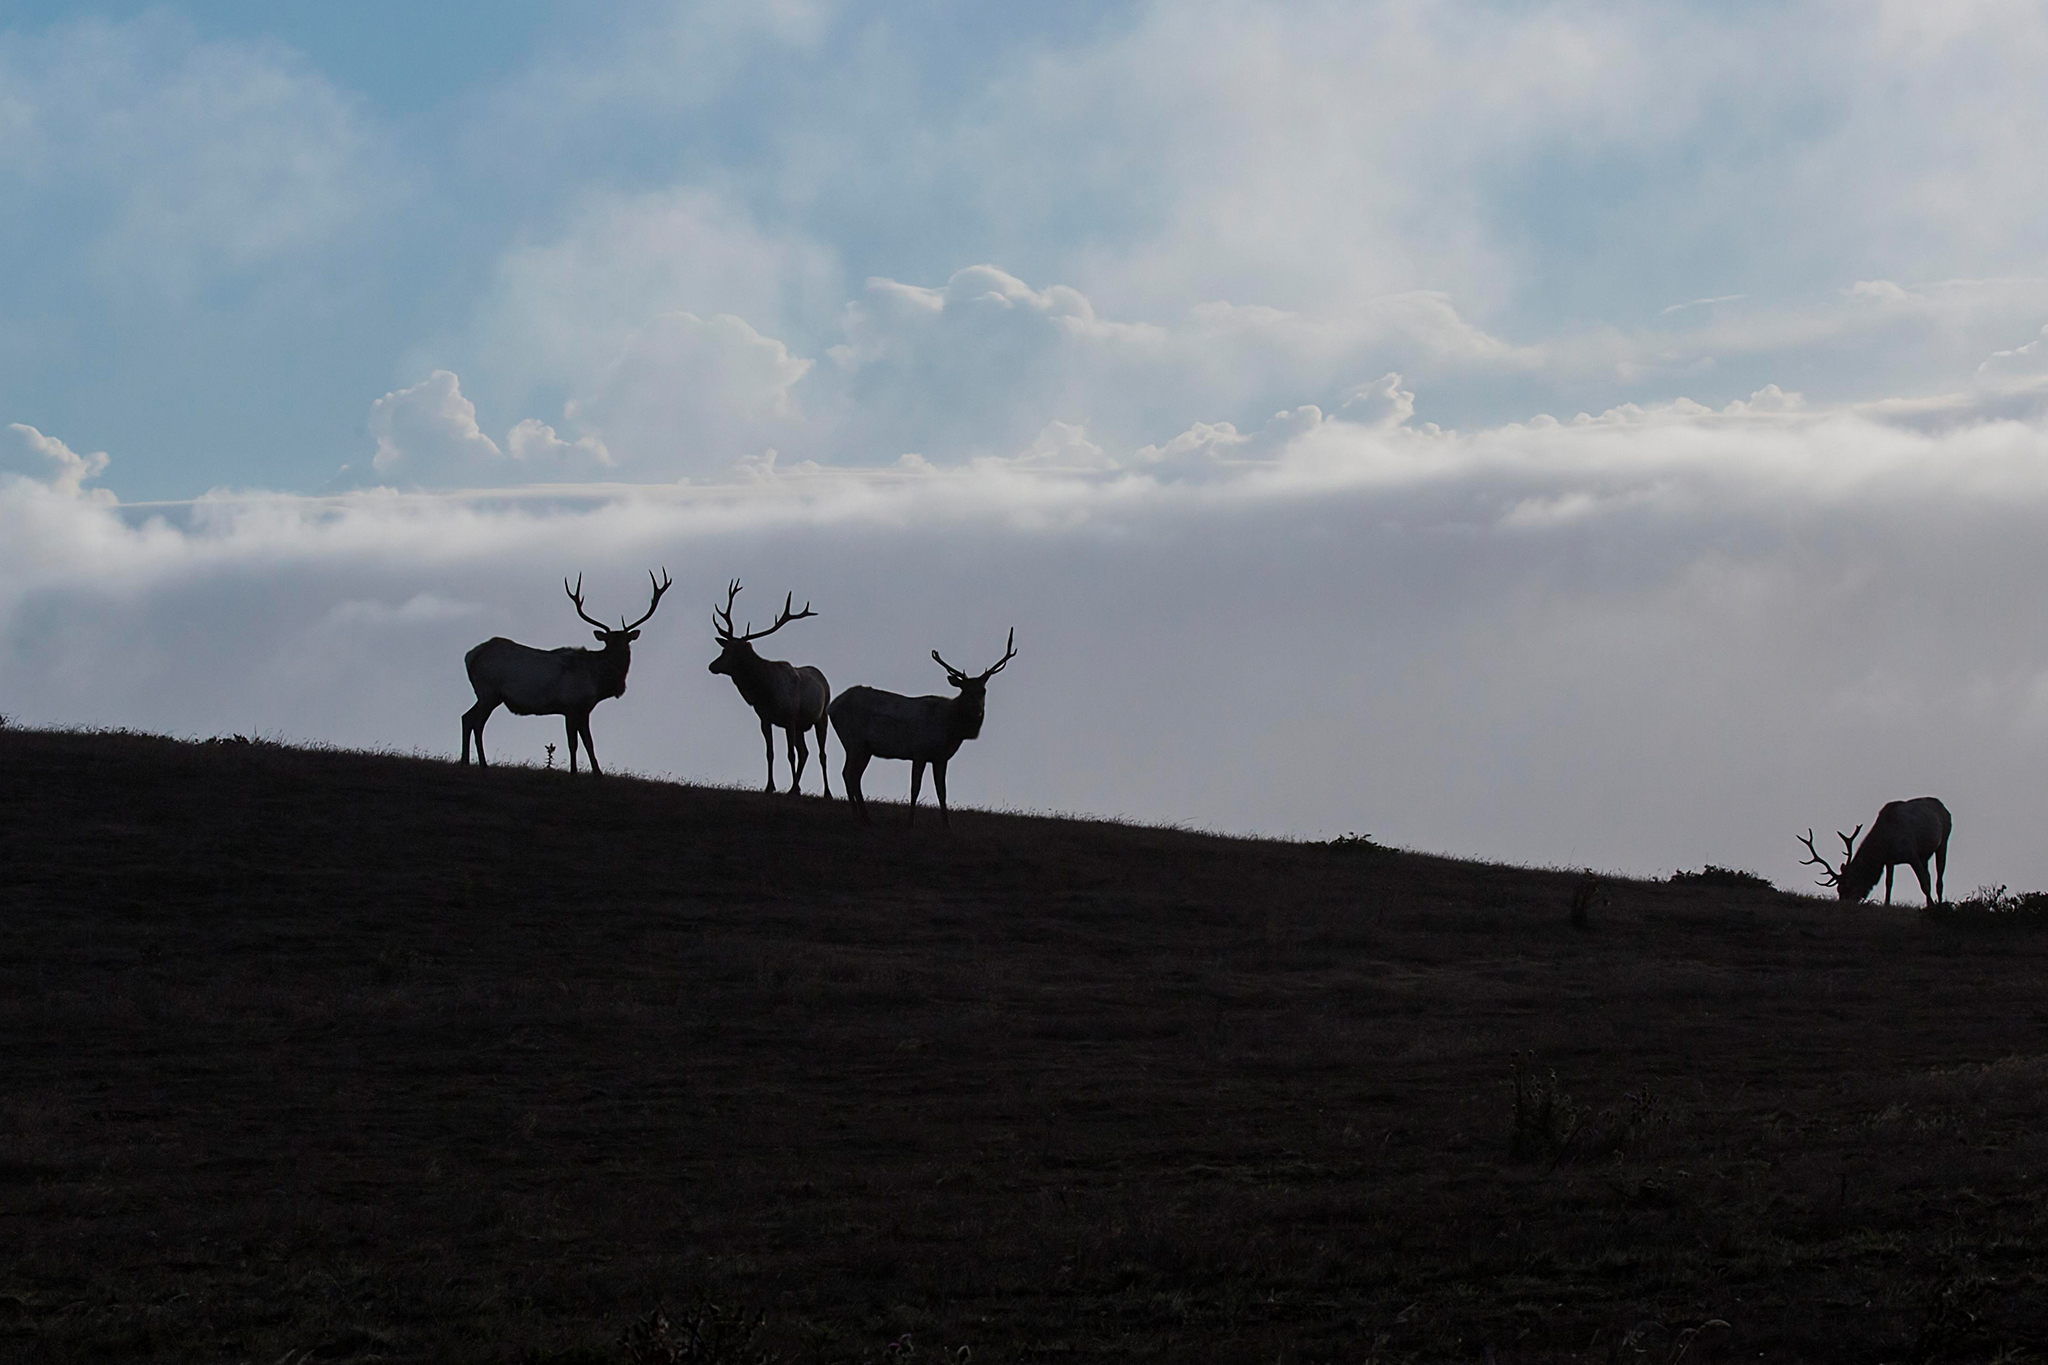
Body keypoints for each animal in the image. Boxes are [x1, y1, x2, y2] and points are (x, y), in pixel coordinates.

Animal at [460, 569, 671, 776]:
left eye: (626, 641)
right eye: (608, 642)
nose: (619, 657)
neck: (597, 682)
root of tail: (470, 656)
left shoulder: (582, 709)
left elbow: (586, 742)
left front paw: (593, 772)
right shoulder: (572, 705)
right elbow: (576, 743)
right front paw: (579, 772)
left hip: (488, 695)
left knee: (466, 717)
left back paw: (465, 761)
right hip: (489, 691)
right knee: (476, 722)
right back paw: (482, 763)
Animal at [709, 580, 833, 797]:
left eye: (731, 652)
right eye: (723, 649)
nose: (712, 666)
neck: (765, 693)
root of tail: (823, 678)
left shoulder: (790, 718)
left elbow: (790, 754)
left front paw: (793, 788)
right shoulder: (765, 718)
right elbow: (770, 753)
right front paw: (770, 787)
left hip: (822, 717)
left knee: (821, 754)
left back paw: (826, 792)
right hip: (802, 725)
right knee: (805, 751)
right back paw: (796, 787)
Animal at [828, 629, 1016, 827]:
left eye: (983, 690)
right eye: (965, 690)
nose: (977, 711)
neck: (950, 730)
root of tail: (831, 707)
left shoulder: (941, 757)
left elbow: (942, 792)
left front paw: (947, 826)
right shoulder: (919, 750)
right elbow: (915, 788)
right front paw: (910, 823)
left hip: (863, 748)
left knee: (853, 776)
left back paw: (865, 817)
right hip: (854, 742)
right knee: (849, 774)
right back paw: (857, 817)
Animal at [1798, 796, 1952, 907]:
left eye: (1846, 887)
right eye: (1838, 889)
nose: (1843, 904)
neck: (1885, 843)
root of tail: (1943, 807)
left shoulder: (1912, 854)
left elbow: (1923, 884)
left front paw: (1931, 905)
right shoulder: (1890, 860)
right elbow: (1889, 884)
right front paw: (1886, 904)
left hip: (1943, 841)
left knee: (1939, 877)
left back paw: (1939, 903)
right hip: (1925, 855)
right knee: (1929, 876)